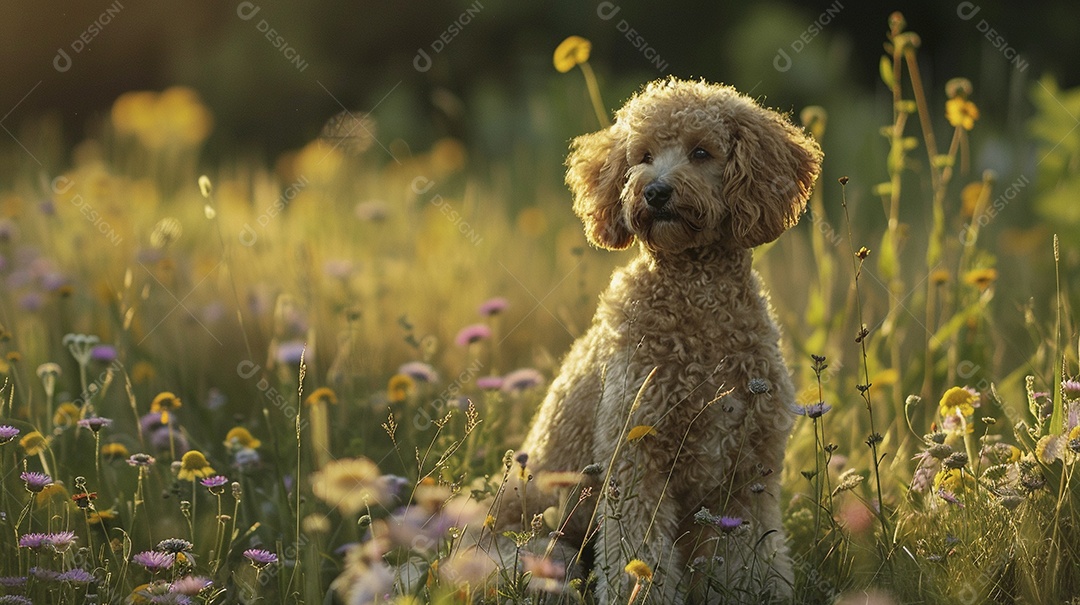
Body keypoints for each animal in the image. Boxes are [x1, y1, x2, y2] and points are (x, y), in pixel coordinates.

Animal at [509, 77, 820, 600]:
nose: (654, 191)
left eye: (701, 152)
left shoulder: (746, 477)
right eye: (643, 155)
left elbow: (747, 560)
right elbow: (639, 555)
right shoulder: (636, 462)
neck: (697, 294)